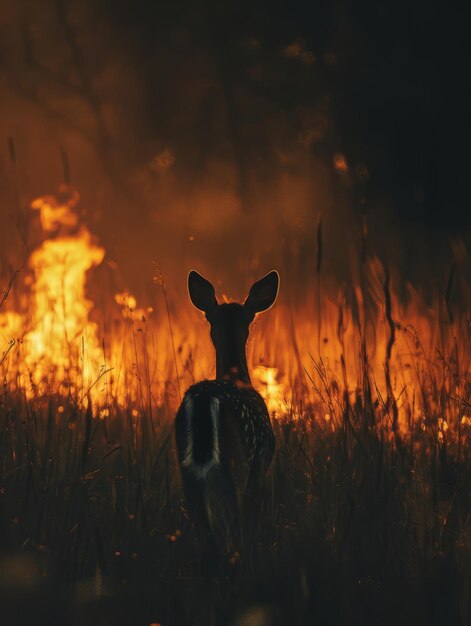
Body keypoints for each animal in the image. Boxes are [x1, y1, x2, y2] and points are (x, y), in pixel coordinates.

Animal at [176, 268, 280, 572]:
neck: (237, 378)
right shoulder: (261, 464)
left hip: (186, 470)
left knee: (208, 542)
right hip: (236, 462)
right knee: (235, 530)